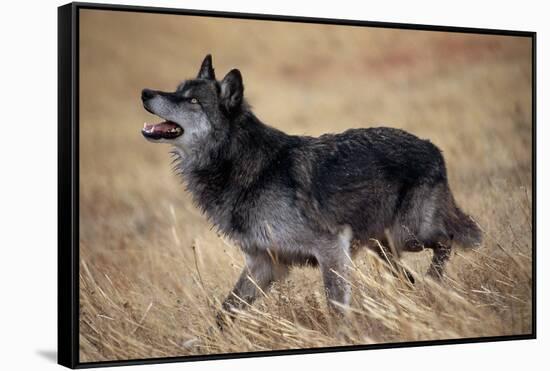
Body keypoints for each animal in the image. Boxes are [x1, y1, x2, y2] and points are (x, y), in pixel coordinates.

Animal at [142, 54, 484, 316]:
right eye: (176, 90)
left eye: (192, 100)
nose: (145, 92)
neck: (243, 164)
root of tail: (433, 147)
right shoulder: (263, 263)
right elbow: (225, 312)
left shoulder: (331, 248)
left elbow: (336, 307)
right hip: (384, 247)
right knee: (410, 275)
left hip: (408, 235)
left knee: (451, 239)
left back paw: (434, 282)